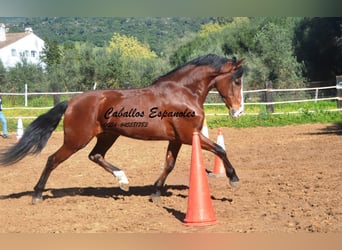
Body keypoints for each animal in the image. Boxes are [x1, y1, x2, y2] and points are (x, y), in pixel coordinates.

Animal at [0, 53, 243, 204]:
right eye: (237, 81)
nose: (238, 111)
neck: (183, 92)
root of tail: (71, 102)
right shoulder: (188, 136)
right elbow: (220, 150)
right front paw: (234, 179)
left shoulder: (176, 139)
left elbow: (169, 164)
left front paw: (156, 192)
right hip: (76, 140)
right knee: (53, 160)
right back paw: (37, 194)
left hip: (108, 135)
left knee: (95, 156)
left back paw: (123, 181)